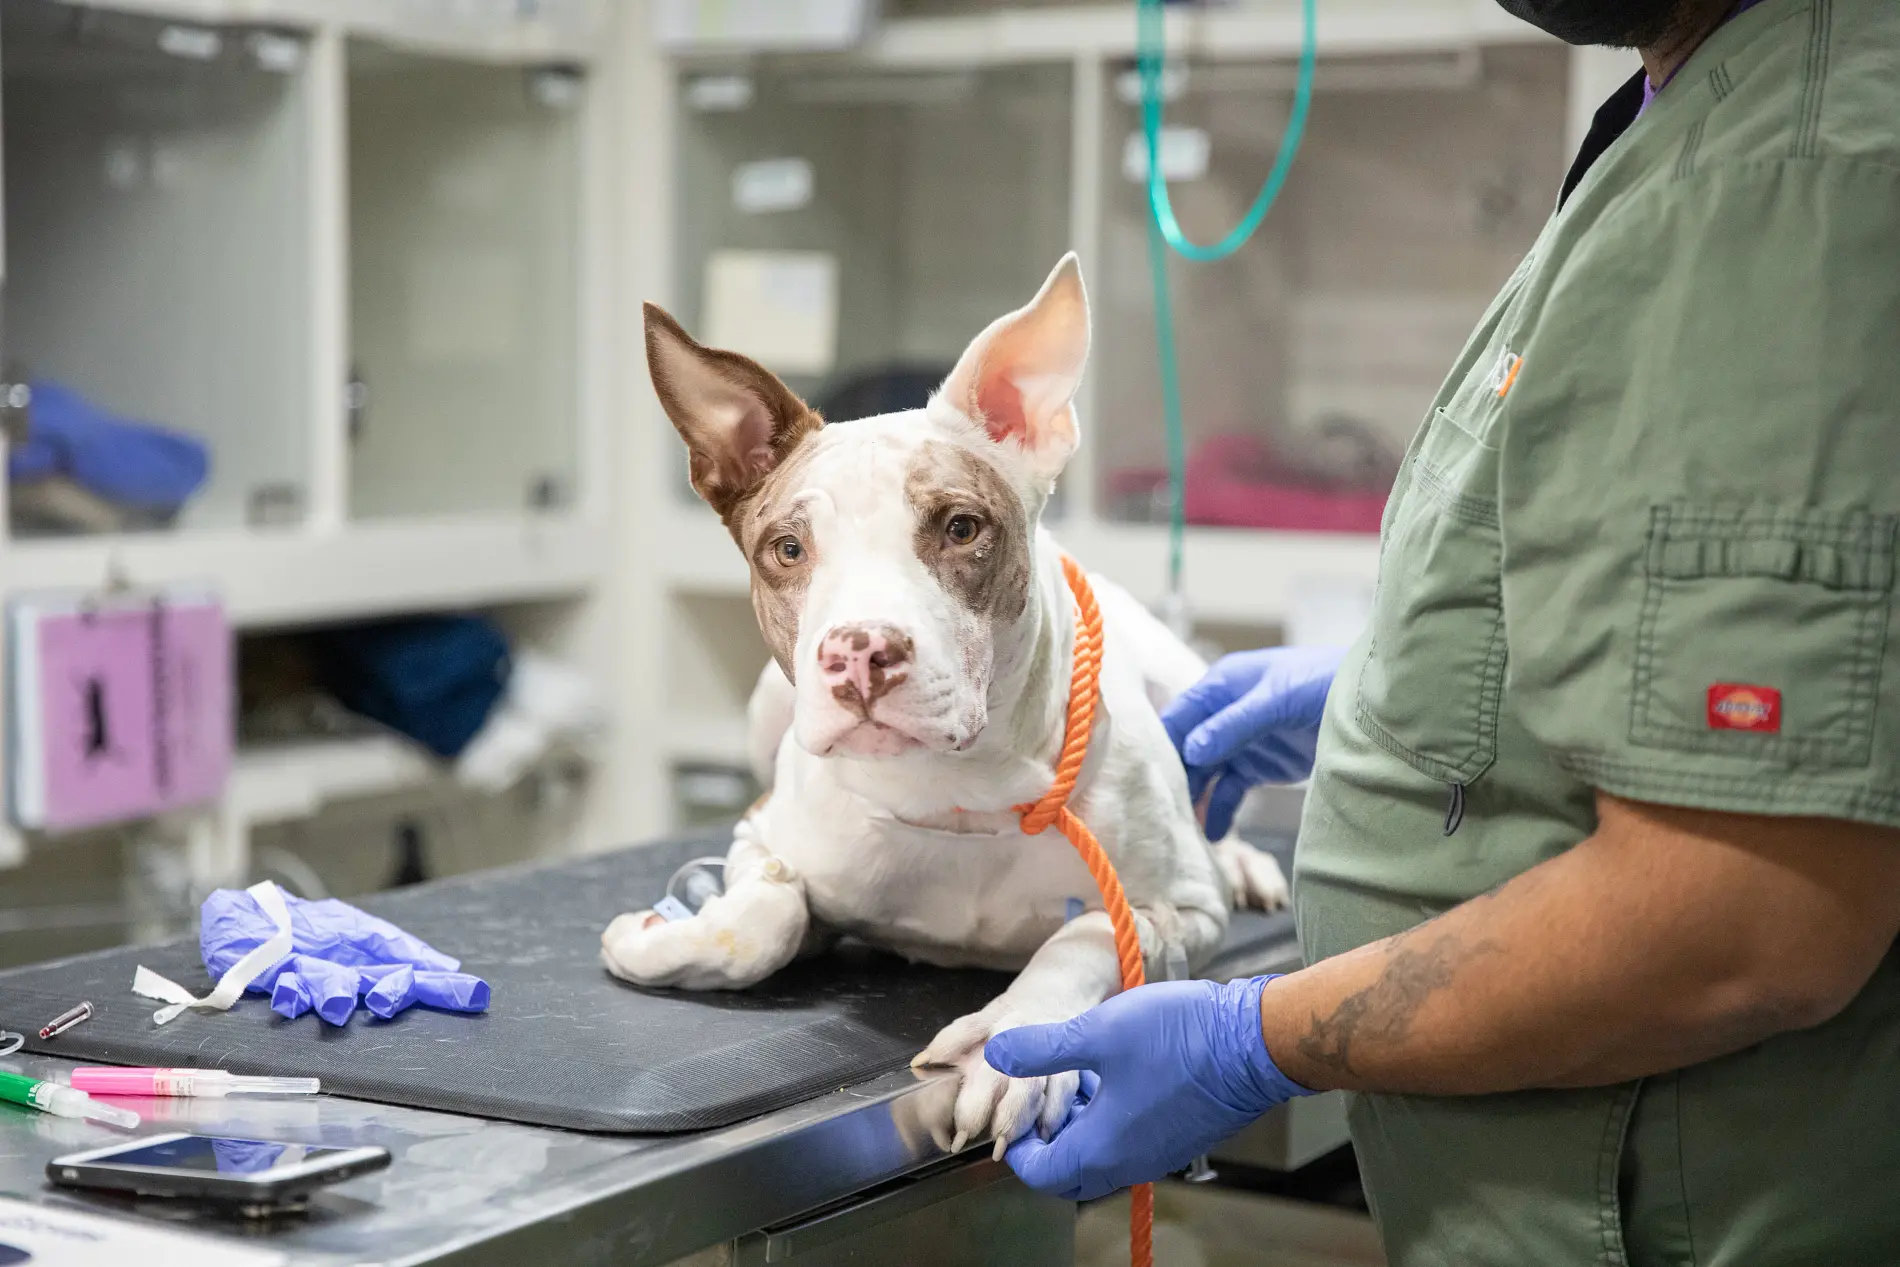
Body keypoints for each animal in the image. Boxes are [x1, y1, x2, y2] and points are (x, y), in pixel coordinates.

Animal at [604, 254, 1292, 1162]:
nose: (859, 652)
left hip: (1192, 682)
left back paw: (1243, 857)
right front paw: (665, 939)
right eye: (787, 548)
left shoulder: (1181, 908)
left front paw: (1014, 1047)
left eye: (962, 528)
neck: (955, 795)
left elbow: (1085, 933)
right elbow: (767, 914)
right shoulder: (763, 831)